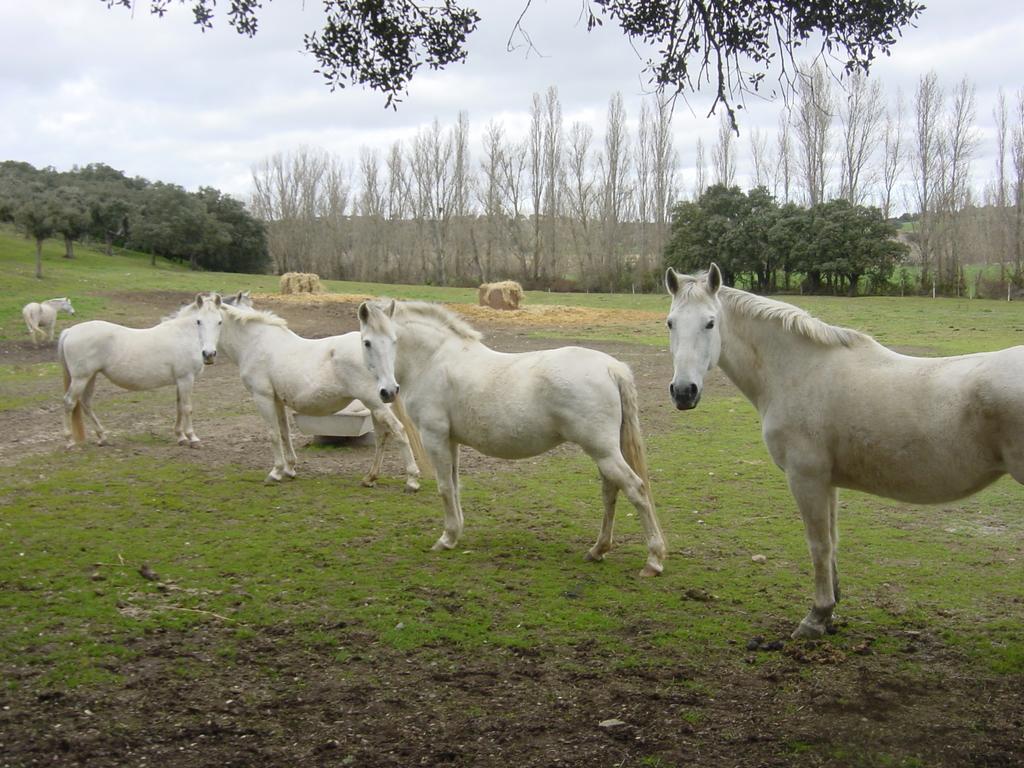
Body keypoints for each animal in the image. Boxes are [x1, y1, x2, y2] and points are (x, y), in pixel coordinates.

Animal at [58, 294, 223, 450]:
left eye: (219, 322)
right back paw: (70, 442)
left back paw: (102, 437)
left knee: (86, 403)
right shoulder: (186, 378)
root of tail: (70, 331)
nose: (209, 354)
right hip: (80, 378)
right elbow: (187, 408)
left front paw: (181, 437)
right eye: (199, 321)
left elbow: (179, 407)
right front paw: (193, 438)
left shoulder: (180, 381)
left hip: (90, 377)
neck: (184, 335)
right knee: (69, 402)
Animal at [216, 301, 423, 487]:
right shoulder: (277, 400)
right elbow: (284, 432)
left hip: (376, 403)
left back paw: (411, 479)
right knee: (382, 437)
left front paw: (276, 472)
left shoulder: (262, 397)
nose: (208, 355)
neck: (257, 342)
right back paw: (370, 478)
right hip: (377, 404)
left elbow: (273, 433)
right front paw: (289, 469)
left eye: (394, 341)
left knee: (398, 431)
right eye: (368, 343)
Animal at [356, 301, 667, 577]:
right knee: (610, 491)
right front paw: (456, 533)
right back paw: (598, 549)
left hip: (603, 451)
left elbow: (444, 488)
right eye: (368, 342)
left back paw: (653, 560)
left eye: (394, 340)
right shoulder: (451, 441)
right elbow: (455, 487)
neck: (434, 360)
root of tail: (611, 368)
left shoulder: (435, 437)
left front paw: (446, 539)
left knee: (636, 489)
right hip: (604, 453)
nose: (388, 391)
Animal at [663, 264, 1024, 638]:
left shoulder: (806, 479)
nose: (684, 392)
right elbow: (832, 541)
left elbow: (818, 544)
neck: (799, 371)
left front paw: (816, 617)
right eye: (670, 322)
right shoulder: (828, 482)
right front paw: (831, 607)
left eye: (710, 323)